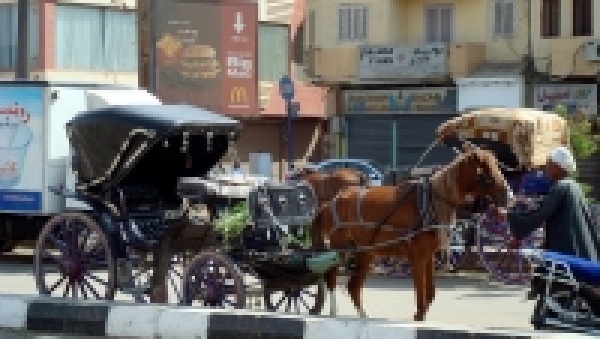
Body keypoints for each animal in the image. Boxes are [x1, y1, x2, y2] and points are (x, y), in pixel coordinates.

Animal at [312, 149, 512, 322]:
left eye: (497, 166)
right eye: (485, 171)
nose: (509, 196)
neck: (429, 203)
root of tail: (330, 203)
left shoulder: (429, 256)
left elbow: (430, 292)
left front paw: (419, 317)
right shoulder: (417, 256)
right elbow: (421, 292)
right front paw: (419, 317)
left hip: (366, 252)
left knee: (353, 287)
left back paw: (363, 316)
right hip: (339, 248)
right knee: (331, 277)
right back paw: (334, 311)